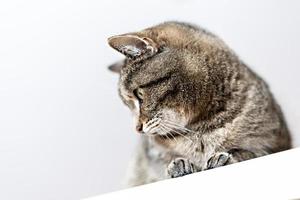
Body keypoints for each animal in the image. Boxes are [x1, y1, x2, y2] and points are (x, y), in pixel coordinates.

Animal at [106, 21, 292, 186]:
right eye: (129, 106)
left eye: (138, 95)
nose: (137, 129)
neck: (202, 127)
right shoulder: (150, 157)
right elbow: (163, 163)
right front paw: (177, 165)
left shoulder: (277, 143)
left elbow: (250, 151)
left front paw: (225, 158)